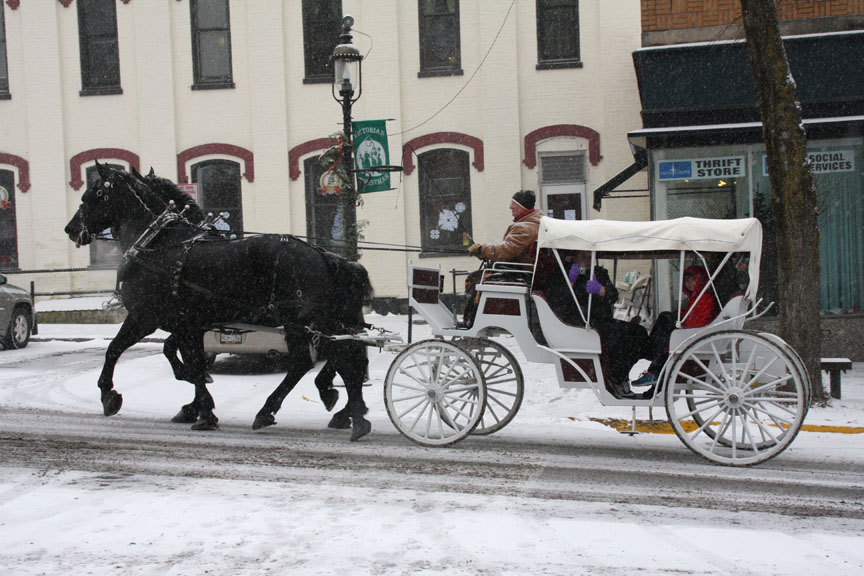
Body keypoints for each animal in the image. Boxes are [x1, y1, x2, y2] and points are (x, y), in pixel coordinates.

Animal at [60, 163, 372, 440]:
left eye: (93, 194)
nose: (71, 229)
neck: (157, 244)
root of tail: (322, 255)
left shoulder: (145, 317)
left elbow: (115, 349)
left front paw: (109, 395)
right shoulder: (190, 325)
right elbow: (188, 360)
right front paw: (199, 407)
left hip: (299, 323)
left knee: (312, 361)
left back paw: (281, 410)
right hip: (325, 322)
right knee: (345, 357)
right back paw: (348, 413)